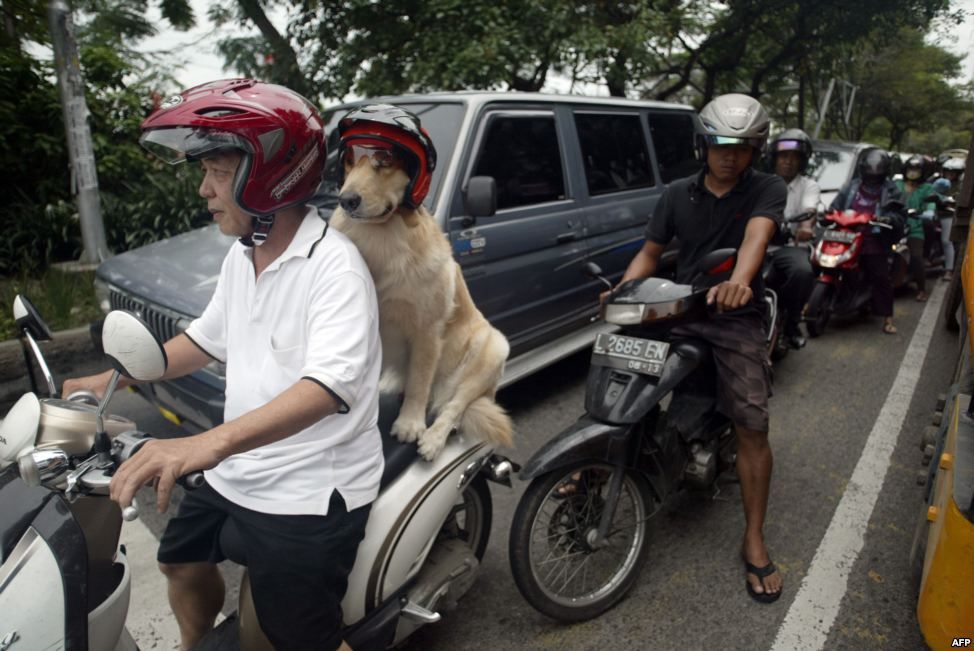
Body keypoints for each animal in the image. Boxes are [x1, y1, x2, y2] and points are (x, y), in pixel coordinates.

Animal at [332, 103, 516, 458]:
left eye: (384, 160)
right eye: (349, 159)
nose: (347, 200)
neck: (382, 236)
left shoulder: (427, 330)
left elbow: (419, 381)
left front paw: (411, 424)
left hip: (493, 349)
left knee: (454, 405)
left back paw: (434, 438)